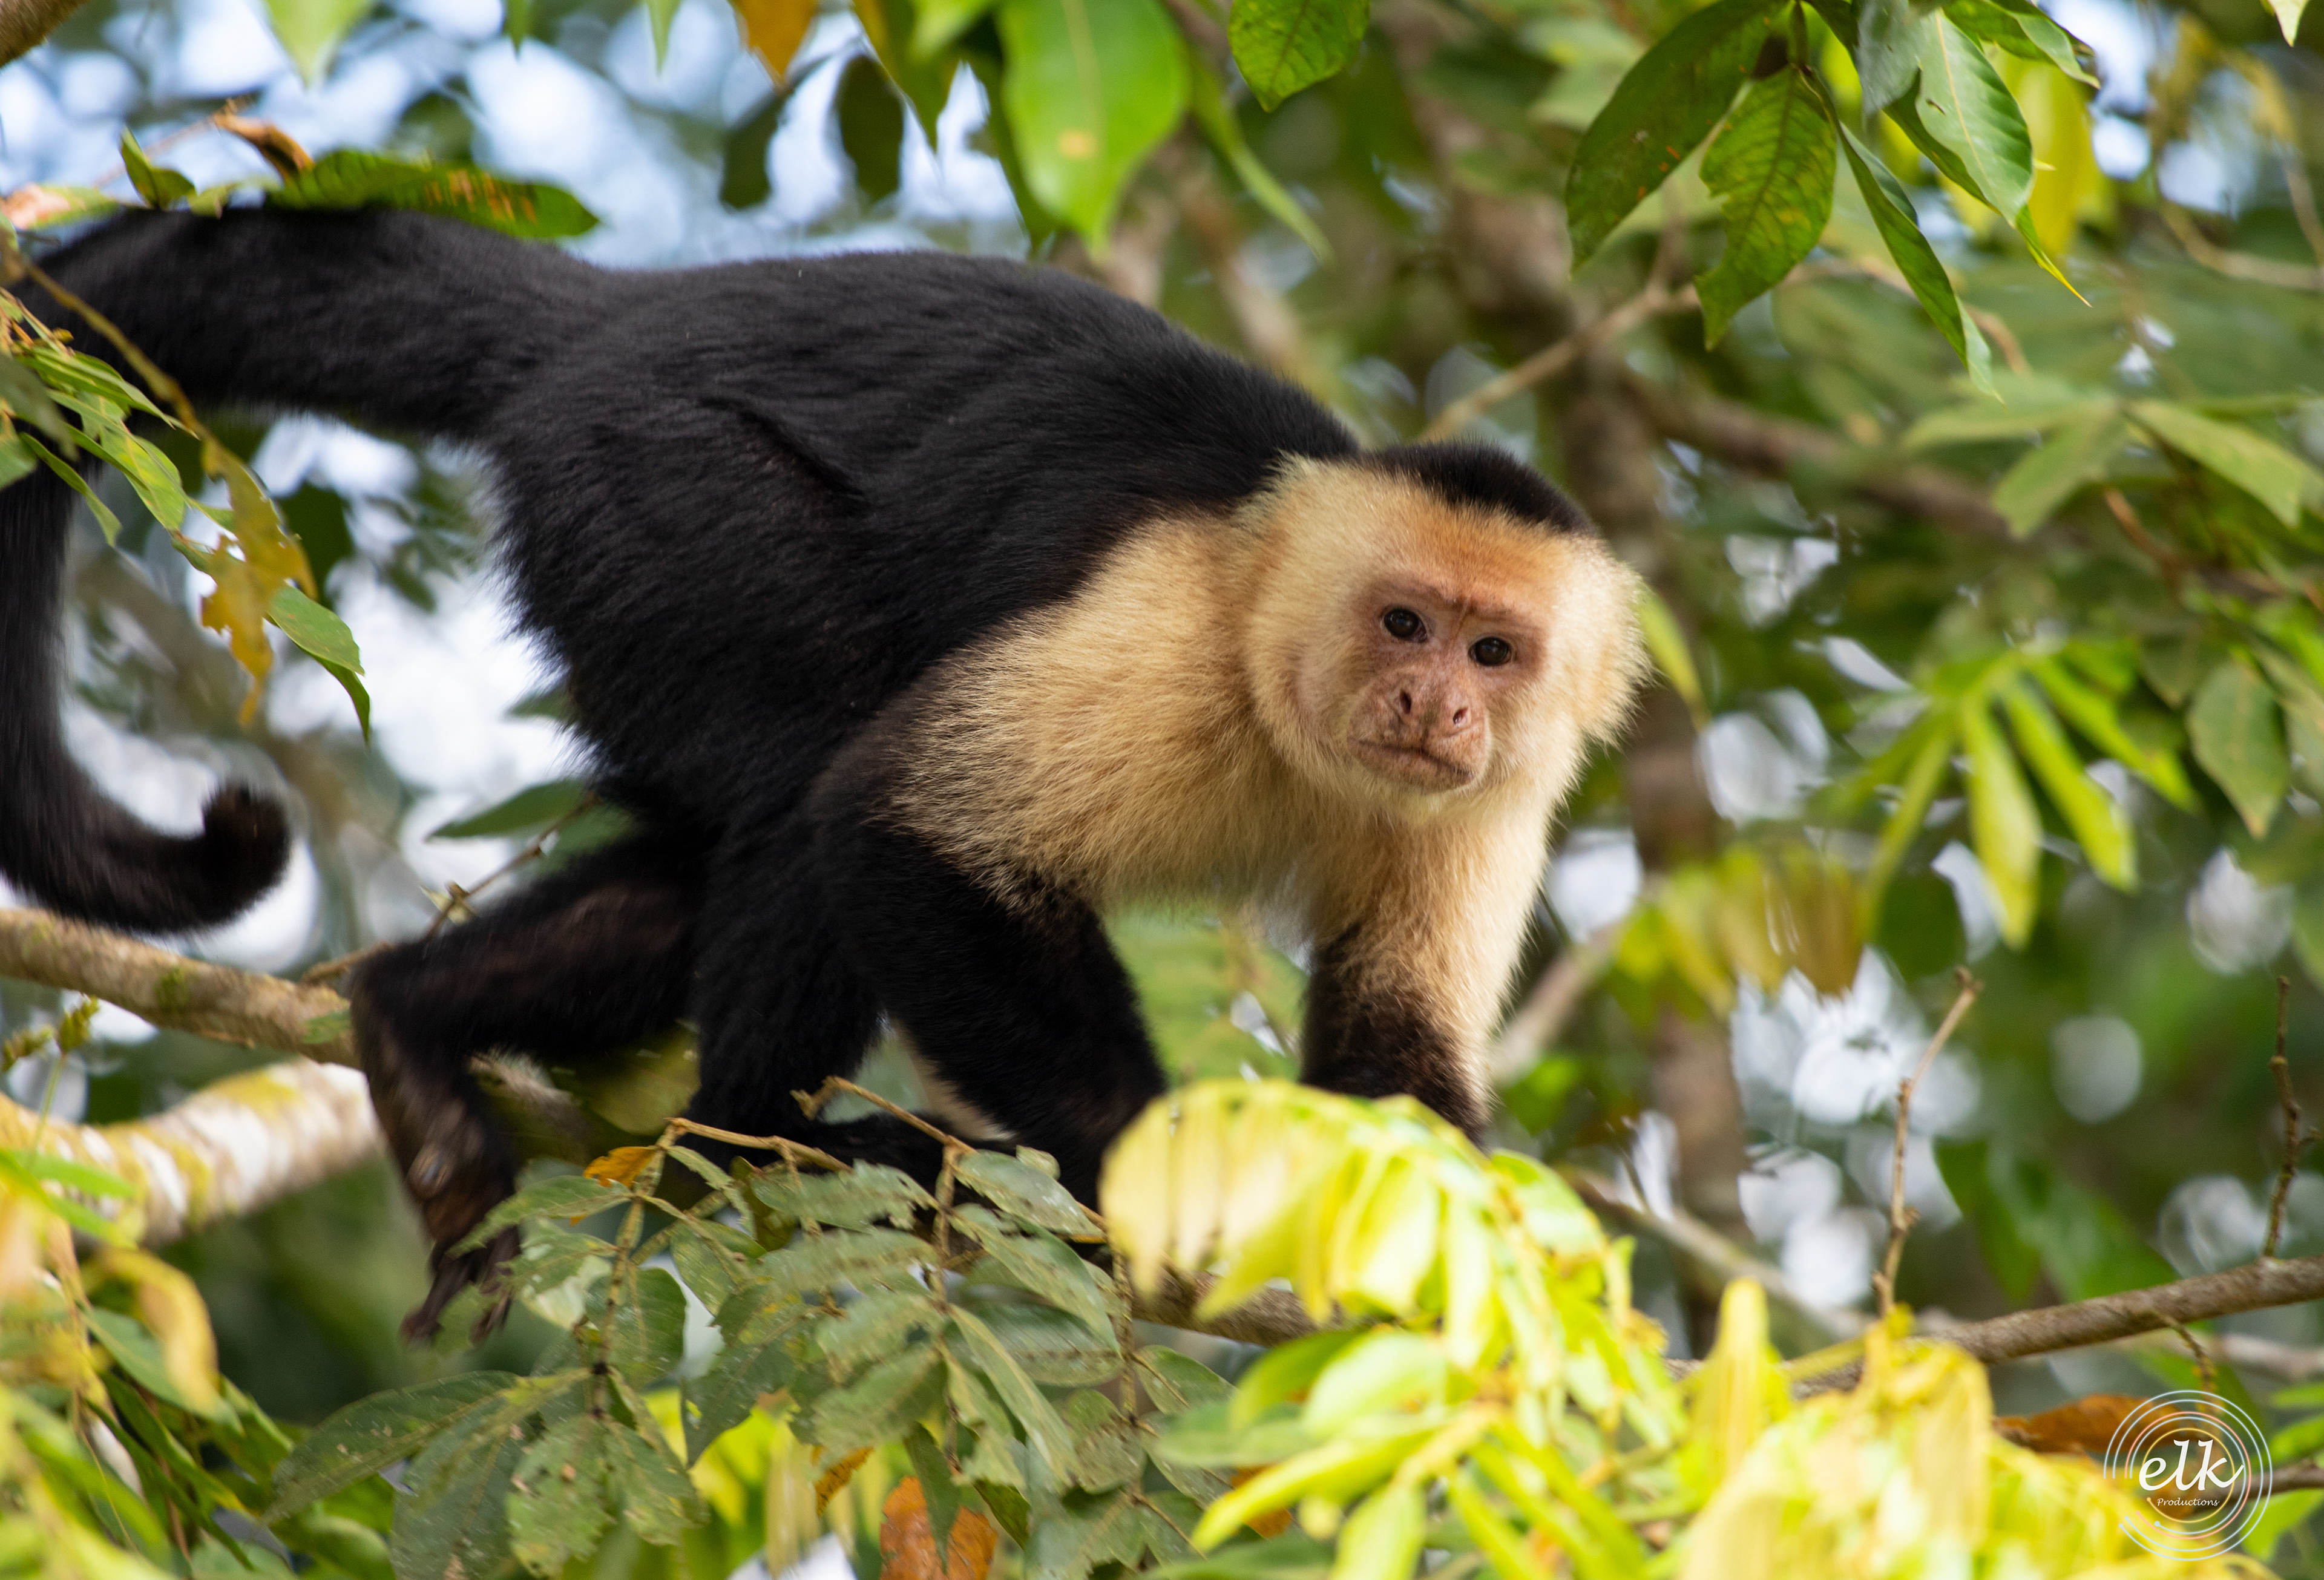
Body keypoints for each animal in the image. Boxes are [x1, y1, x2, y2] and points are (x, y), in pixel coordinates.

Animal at [0, 209, 1646, 1339]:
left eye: (1494, 651)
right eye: (1402, 622)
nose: (1434, 702)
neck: (1288, 695)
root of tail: (622, 314)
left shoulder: (1498, 796)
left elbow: (1394, 1053)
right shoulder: (1176, 632)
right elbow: (896, 822)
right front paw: (1137, 1170)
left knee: (695, 856)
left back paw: (418, 1023)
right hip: (647, 483)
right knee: (808, 771)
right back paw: (757, 1145)